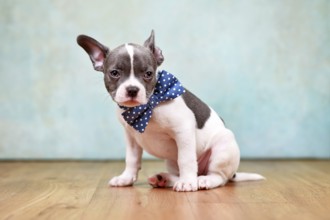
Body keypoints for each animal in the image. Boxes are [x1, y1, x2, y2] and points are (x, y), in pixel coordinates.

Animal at [76, 30, 262, 192]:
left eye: (148, 73)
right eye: (114, 73)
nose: (132, 89)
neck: (146, 107)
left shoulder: (183, 130)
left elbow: (186, 159)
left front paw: (187, 183)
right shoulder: (131, 138)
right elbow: (132, 159)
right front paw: (126, 178)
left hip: (223, 146)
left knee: (219, 177)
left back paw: (202, 180)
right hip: (172, 161)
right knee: (178, 171)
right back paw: (164, 179)